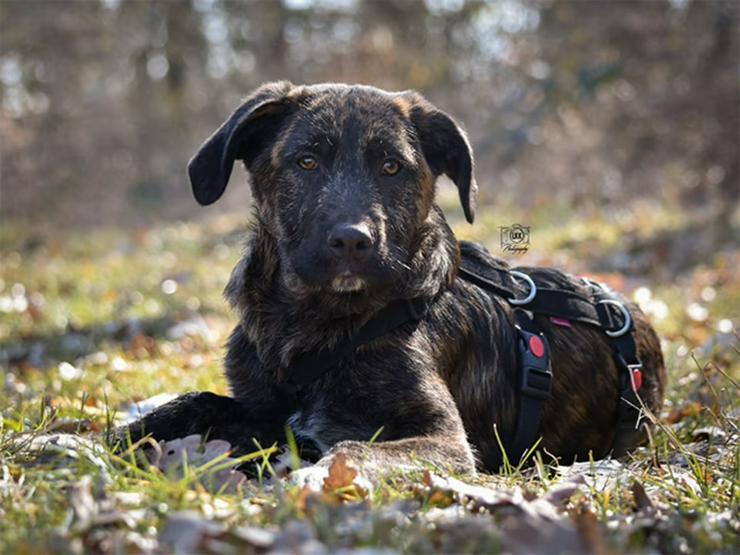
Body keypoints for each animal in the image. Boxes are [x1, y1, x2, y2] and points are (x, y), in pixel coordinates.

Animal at [120, 80, 664, 484]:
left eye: (391, 167)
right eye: (306, 161)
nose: (352, 240)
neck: (315, 325)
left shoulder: (446, 441)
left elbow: (354, 449)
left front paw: (317, 476)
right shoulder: (263, 407)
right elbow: (196, 401)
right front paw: (115, 440)